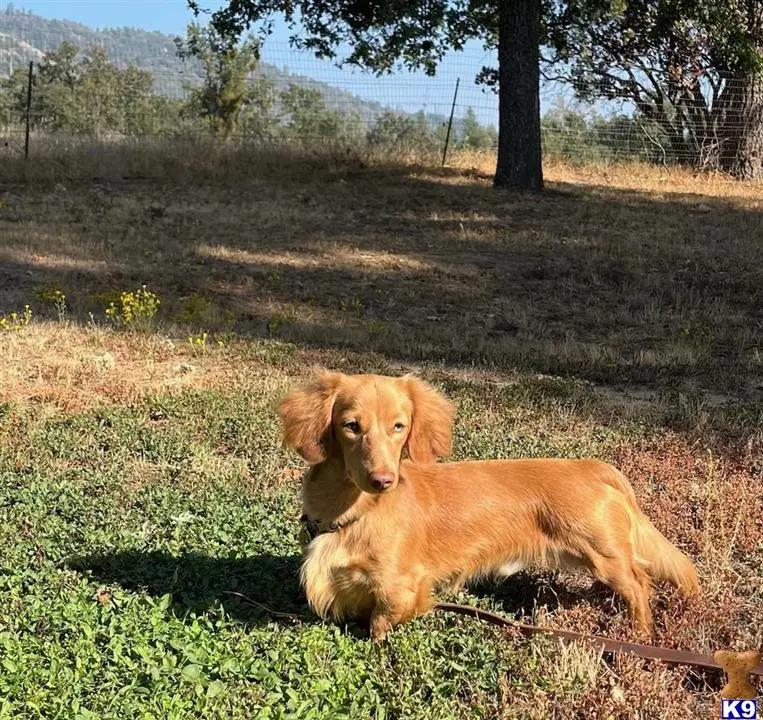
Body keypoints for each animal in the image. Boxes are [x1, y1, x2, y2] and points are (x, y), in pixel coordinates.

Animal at [278, 372, 700, 640]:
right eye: (351, 425)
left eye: (399, 426)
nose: (384, 480)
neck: (353, 511)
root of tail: (591, 466)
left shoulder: (401, 585)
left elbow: (380, 624)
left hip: (604, 555)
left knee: (638, 586)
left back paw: (639, 634)